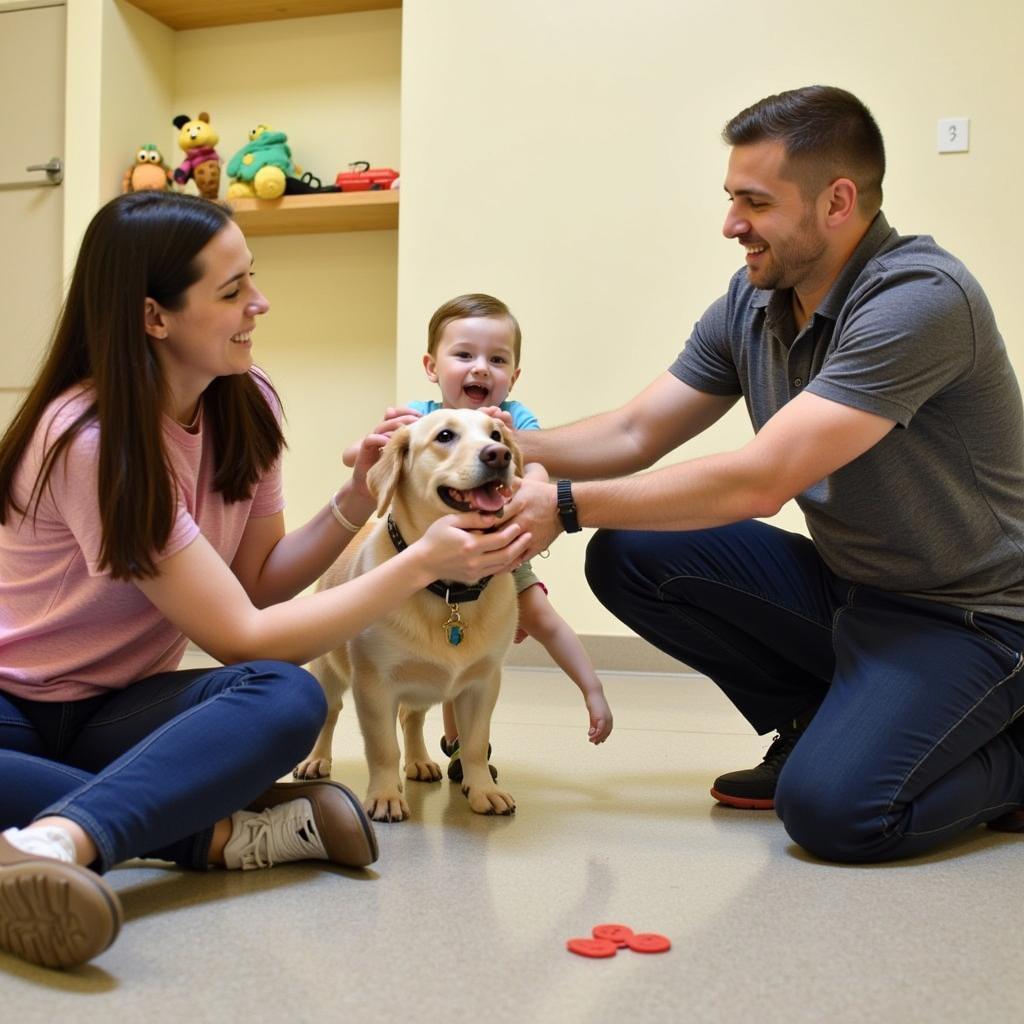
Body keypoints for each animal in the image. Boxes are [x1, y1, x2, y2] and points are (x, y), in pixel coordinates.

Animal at [294, 407, 520, 823]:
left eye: (496, 434)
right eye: (445, 436)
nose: (499, 455)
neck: (449, 591)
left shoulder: (483, 683)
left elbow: (475, 744)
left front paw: (483, 790)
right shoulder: (374, 685)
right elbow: (383, 748)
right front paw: (385, 795)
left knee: (411, 719)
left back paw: (419, 761)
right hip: (328, 672)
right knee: (331, 714)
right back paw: (317, 760)